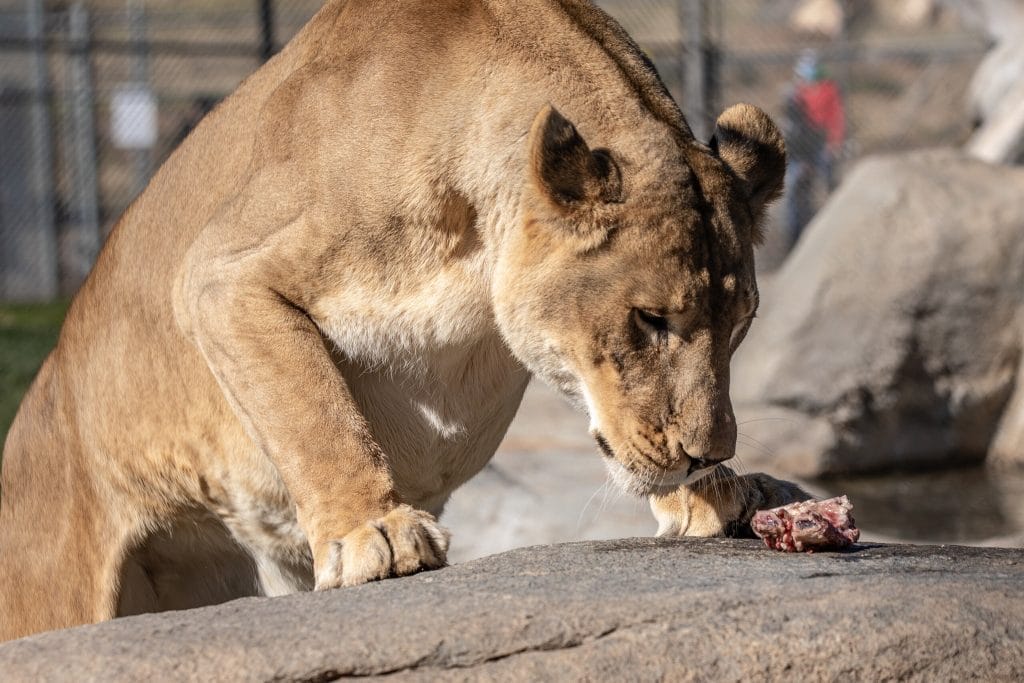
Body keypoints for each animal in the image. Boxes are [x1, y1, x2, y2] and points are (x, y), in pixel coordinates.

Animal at [0, 0, 805, 641]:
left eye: (740, 325)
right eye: (649, 318)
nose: (705, 454)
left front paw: (720, 490)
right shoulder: (221, 274)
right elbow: (317, 410)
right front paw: (374, 531)